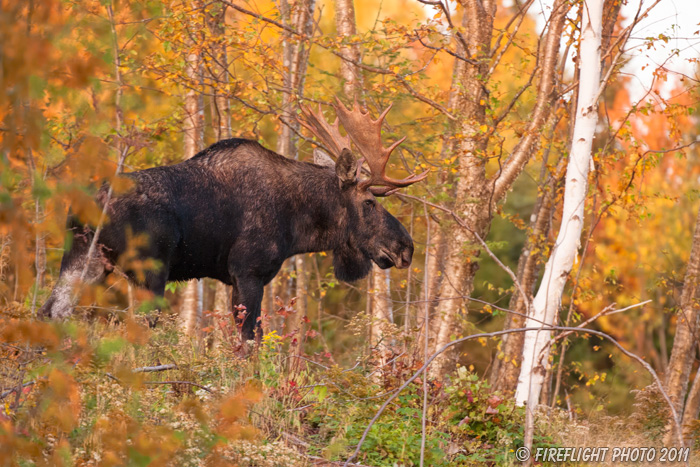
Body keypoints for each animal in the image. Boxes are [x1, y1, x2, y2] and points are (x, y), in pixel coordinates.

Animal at [42, 98, 432, 340]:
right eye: (369, 202)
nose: (406, 247)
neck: (298, 225)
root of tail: (91, 203)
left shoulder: (232, 279)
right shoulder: (249, 272)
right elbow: (249, 341)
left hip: (84, 259)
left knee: (51, 312)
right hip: (147, 270)